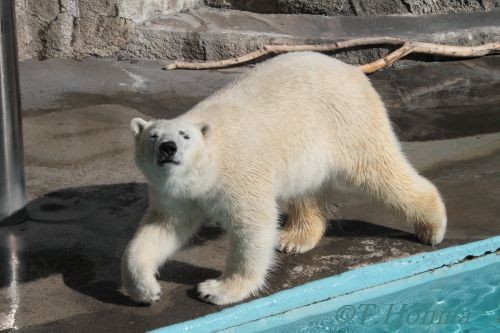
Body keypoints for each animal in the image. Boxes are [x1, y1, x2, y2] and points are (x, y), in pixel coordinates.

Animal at [120, 51, 446, 304]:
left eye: (184, 135)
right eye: (153, 136)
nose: (168, 148)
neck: (208, 167)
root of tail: (352, 70)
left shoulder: (238, 174)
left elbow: (253, 226)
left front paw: (216, 289)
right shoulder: (173, 192)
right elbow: (163, 228)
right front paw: (146, 289)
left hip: (347, 121)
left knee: (379, 171)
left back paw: (431, 227)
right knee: (307, 189)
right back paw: (294, 238)